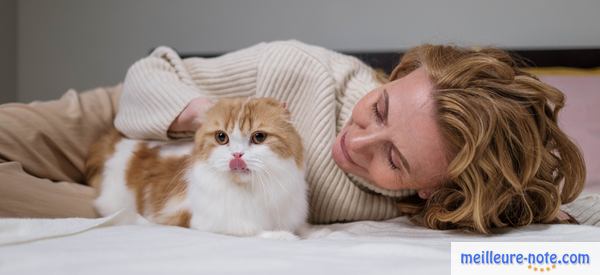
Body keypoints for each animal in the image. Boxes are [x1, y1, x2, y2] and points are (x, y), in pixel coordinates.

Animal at [85, 98, 310, 238]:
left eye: (259, 137)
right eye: (221, 137)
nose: (237, 154)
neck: (251, 190)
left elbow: (303, 228)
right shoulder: (203, 222)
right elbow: (252, 231)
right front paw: (283, 236)